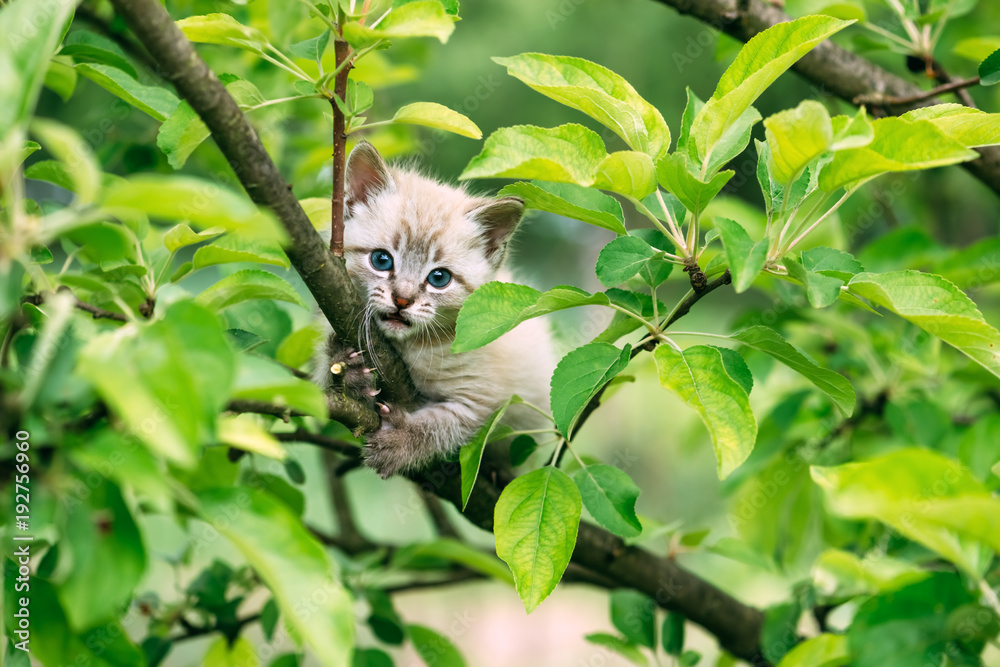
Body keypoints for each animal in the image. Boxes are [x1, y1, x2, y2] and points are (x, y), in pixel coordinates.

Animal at [314, 142, 556, 480]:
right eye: (381, 260)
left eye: (439, 278)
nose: (402, 299)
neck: (410, 346)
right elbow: (323, 385)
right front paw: (349, 372)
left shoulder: (485, 399)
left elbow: (443, 425)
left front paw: (400, 441)